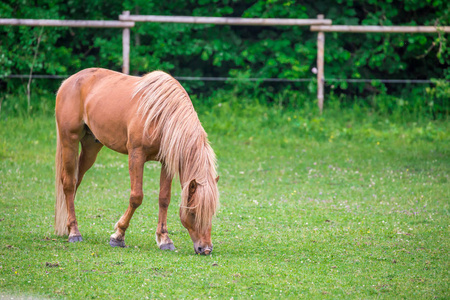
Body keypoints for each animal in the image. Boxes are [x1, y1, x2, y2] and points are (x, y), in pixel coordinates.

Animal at [53, 68, 219, 255]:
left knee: (76, 182)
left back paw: (67, 227)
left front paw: (164, 239)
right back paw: (74, 232)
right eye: (193, 213)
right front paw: (118, 236)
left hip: (91, 147)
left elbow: (164, 198)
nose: (206, 249)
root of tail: (69, 81)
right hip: (70, 140)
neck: (161, 115)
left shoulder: (167, 163)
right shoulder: (136, 155)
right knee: (68, 184)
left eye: (211, 213)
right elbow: (136, 197)